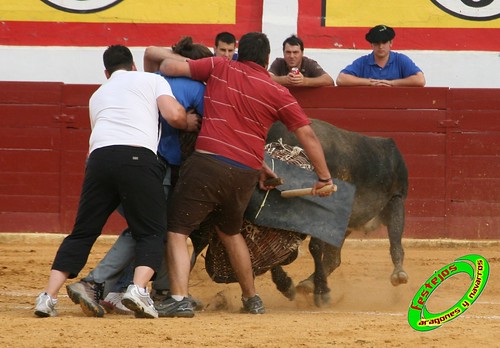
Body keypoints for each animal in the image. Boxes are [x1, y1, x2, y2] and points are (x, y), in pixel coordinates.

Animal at [189, 119, 408, 308]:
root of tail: (391, 147)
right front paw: (287, 285)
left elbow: (314, 247)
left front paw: (322, 292)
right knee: (334, 258)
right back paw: (307, 284)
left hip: (396, 201)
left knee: (395, 242)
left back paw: (399, 274)